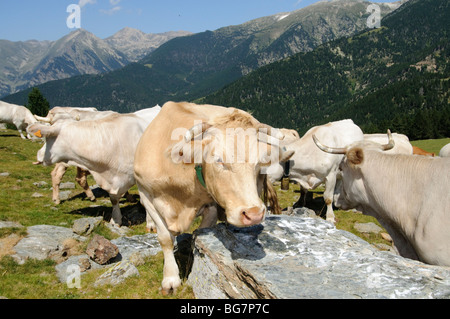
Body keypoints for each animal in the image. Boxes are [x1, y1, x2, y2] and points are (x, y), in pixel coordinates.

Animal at [28, 112, 156, 228]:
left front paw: (151, 224)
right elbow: (114, 199)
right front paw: (115, 220)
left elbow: (145, 201)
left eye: (47, 138)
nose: (38, 154)